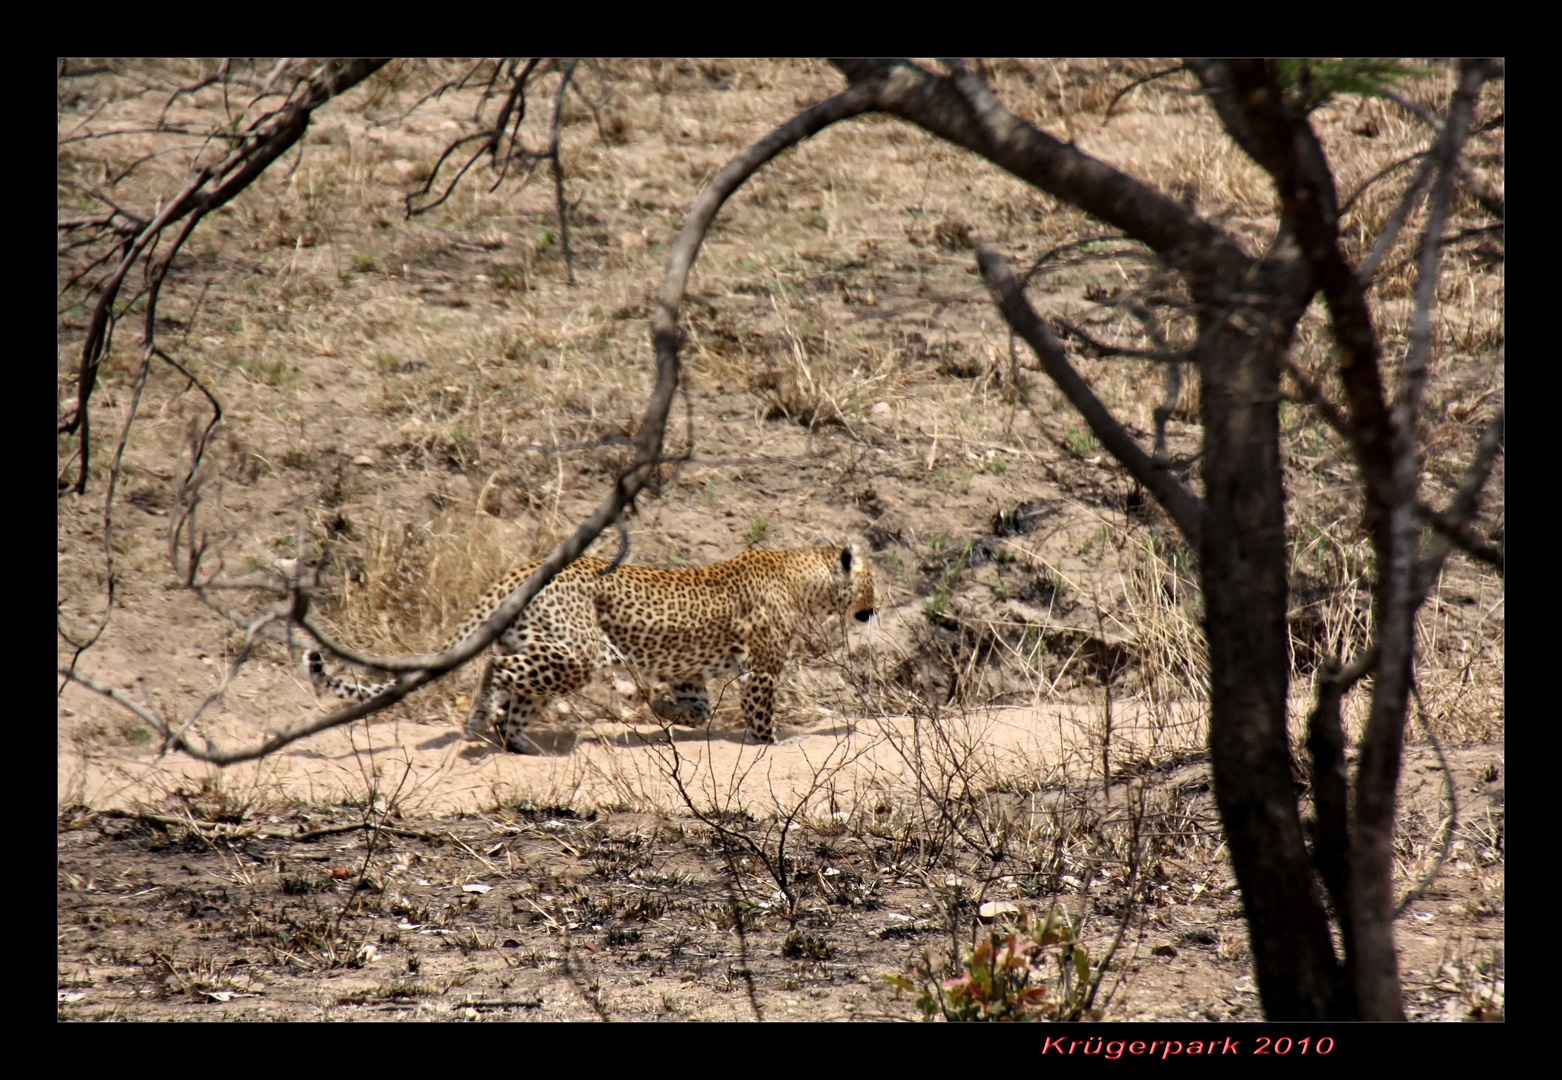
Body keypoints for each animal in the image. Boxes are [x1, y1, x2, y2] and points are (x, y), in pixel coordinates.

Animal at [303, 540, 868, 753]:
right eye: (873, 583)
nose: (875, 609)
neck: (805, 577)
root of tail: (522, 569)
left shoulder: (690, 672)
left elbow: (695, 706)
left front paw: (663, 712)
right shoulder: (763, 669)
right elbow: (761, 711)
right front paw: (772, 742)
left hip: (547, 648)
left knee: (514, 697)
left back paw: (517, 744)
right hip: (577, 653)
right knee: (498, 669)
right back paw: (480, 719)